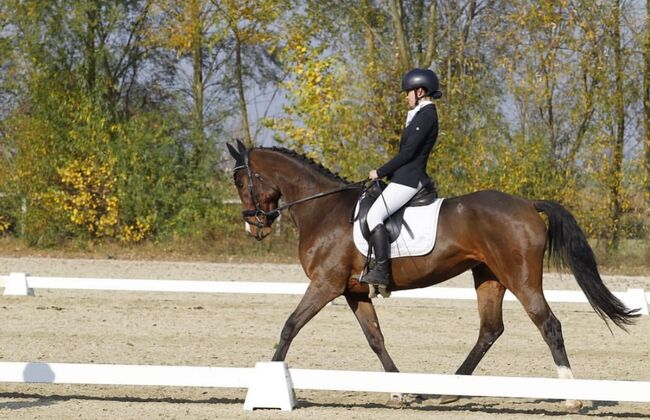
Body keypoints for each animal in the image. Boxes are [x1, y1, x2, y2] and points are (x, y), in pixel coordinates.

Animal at [225, 141, 636, 410]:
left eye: (242, 183)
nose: (254, 227)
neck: (323, 209)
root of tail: (527, 204)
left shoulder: (325, 284)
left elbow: (290, 326)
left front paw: (266, 380)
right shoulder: (352, 291)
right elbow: (375, 339)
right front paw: (401, 390)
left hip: (520, 277)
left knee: (548, 324)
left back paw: (572, 397)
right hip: (489, 277)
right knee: (490, 330)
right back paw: (450, 388)